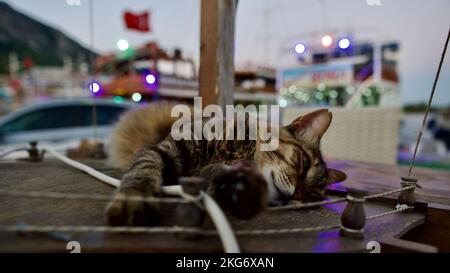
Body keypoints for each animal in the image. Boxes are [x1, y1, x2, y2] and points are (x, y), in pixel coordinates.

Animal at [105, 102, 344, 225]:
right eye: (304, 162)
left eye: (314, 197)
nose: (299, 196)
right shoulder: (167, 149)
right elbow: (144, 169)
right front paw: (135, 197)